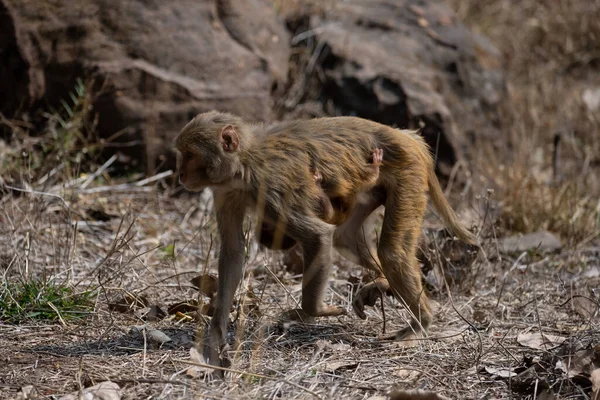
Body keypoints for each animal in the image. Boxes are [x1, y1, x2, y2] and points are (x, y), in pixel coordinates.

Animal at [175, 111, 478, 368]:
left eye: (190, 155)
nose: (180, 174)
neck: (244, 161)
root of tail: (406, 137)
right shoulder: (226, 191)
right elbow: (234, 251)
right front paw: (216, 333)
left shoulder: (271, 188)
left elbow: (317, 237)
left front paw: (313, 310)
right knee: (345, 238)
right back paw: (381, 282)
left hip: (408, 172)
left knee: (392, 252)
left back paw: (421, 323)